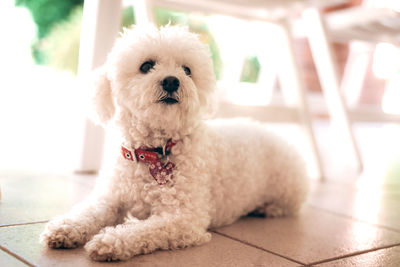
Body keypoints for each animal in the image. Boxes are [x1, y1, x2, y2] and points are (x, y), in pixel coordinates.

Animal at [41, 25, 310, 262]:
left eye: (187, 70)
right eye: (146, 66)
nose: (171, 81)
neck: (152, 151)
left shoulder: (183, 219)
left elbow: (142, 231)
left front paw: (110, 241)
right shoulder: (110, 198)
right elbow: (88, 212)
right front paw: (65, 227)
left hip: (287, 188)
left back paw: (268, 208)